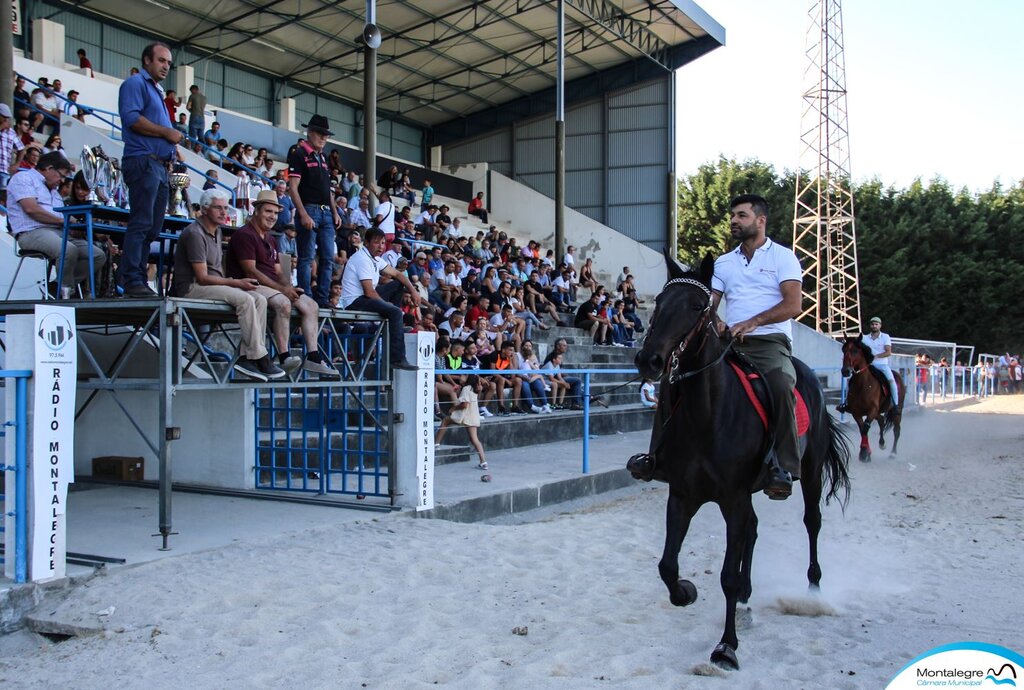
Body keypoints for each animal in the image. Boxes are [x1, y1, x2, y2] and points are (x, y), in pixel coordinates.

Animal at [630, 252, 856, 667]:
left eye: (697, 306)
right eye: (660, 303)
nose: (648, 360)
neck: (707, 415)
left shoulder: (732, 498)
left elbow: (727, 577)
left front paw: (726, 646)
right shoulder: (683, 495)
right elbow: (667, 564)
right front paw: (685, 592)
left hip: (810, 472)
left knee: (811, 522)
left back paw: (814, 591)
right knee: (753, 529)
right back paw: (749, 600)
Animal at [839, 333, 905, 462]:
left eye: (855, 350)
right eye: (843, 350)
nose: (845, 371)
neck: (862, 385)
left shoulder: (872, 410)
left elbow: (865, 428)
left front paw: (864, 453)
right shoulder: (856, 413)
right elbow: (862, 430)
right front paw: (866, 452)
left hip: (897, 411)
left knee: (896, 430)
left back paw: (893, 453)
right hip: (878, 412)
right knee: (881, 421)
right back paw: (882, 443)